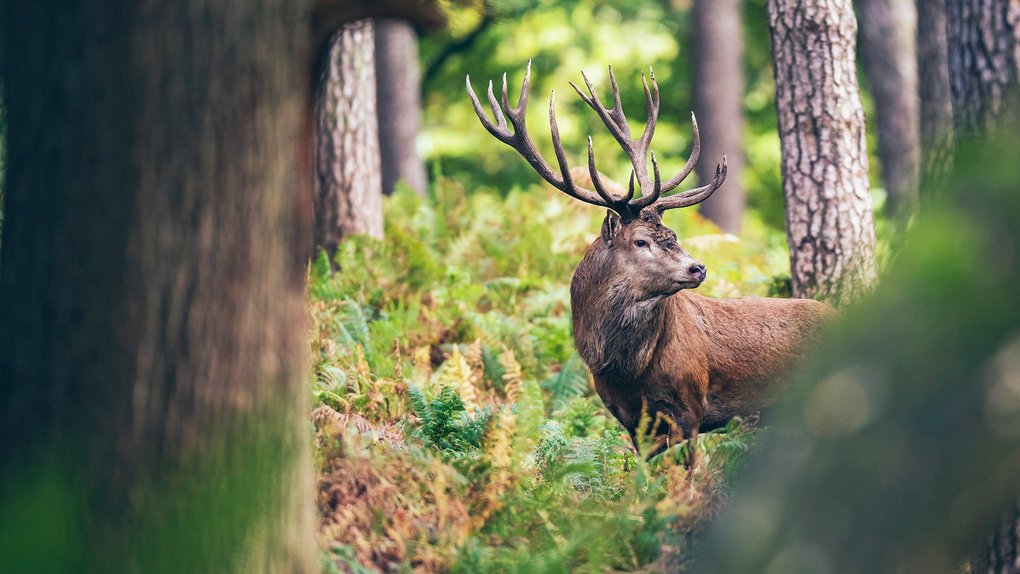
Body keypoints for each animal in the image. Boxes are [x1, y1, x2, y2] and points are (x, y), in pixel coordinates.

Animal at [467, 63, 836, 463]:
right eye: (641, 241)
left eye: (672, 233)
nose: (697, 268)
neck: (627, 371)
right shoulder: (628, 417)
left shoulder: (690, 407)